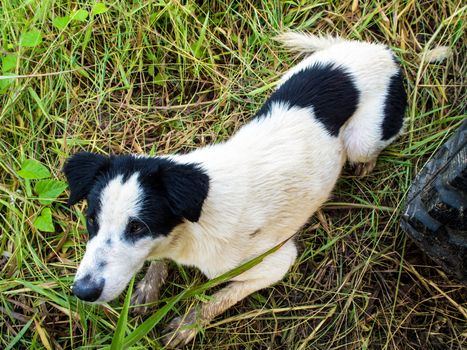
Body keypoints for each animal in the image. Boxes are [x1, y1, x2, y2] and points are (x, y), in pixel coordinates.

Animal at [64, 32, 408, 348]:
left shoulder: (274, 263)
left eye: (137, 227)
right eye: (91, 220)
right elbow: (157, 262)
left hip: (361, 141)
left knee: (369, 149)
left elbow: (222, 297)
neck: (194, 227)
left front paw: (187, 325)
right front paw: (149, 289)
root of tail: (379, 50)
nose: (82, 292)